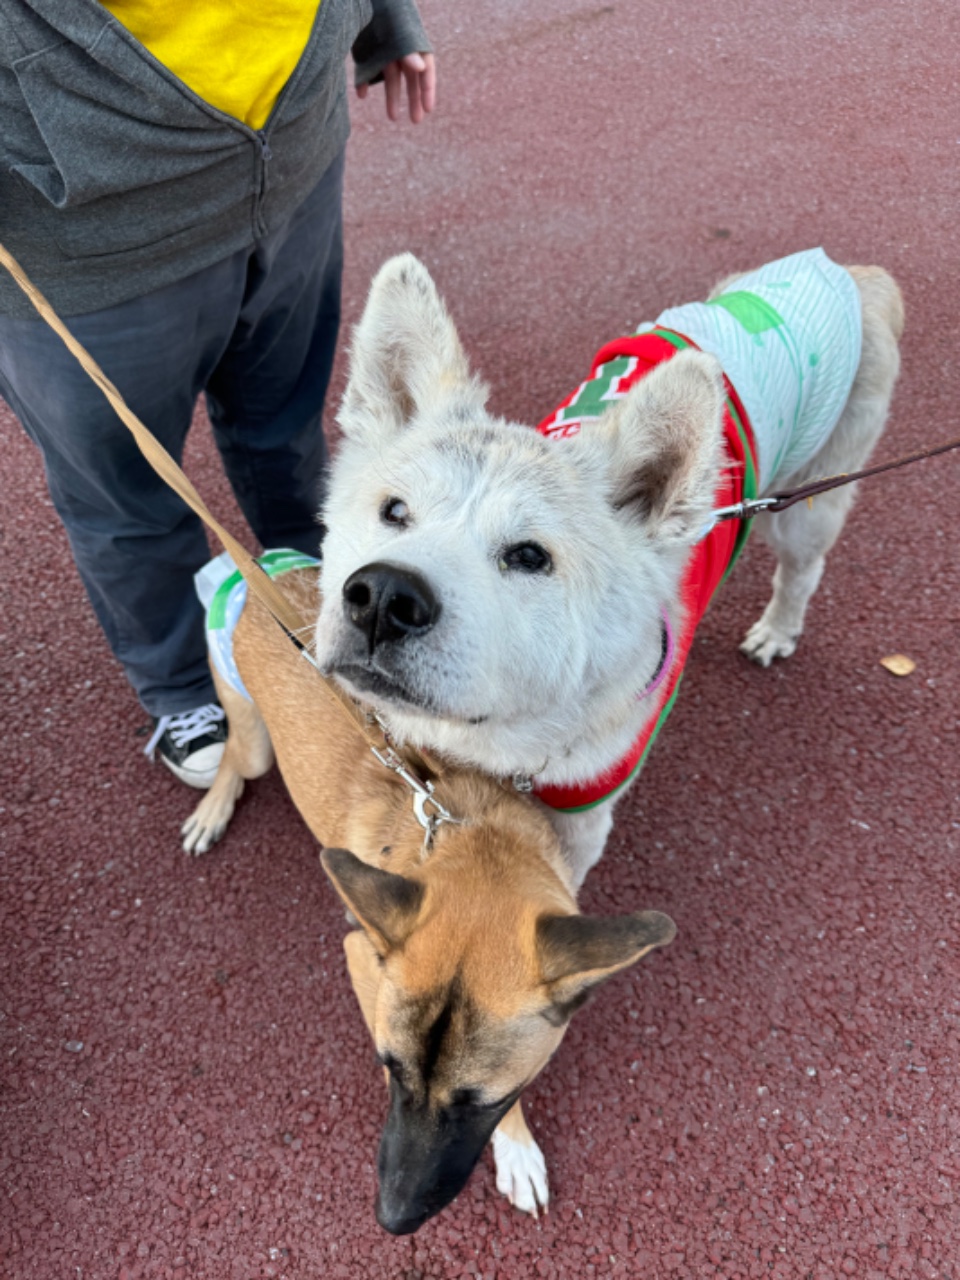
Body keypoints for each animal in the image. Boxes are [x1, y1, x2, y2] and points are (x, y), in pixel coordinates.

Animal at [183, 566, 676, 1233]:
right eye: (388, 1066)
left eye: (486, 1102)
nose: (392, 1220)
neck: (469, 834)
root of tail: (271, 571)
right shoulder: (361, 960)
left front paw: (515, 1146)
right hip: (257, 745)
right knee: (237, 756)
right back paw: (211, 809)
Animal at [314, 249, 904, 885]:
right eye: (394, 511)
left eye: (530, 556)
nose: (382, 596)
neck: (504, 740)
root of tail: (845, 271)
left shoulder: (581, 825)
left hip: (802, 511)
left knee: (802, 572)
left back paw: (776, 631)